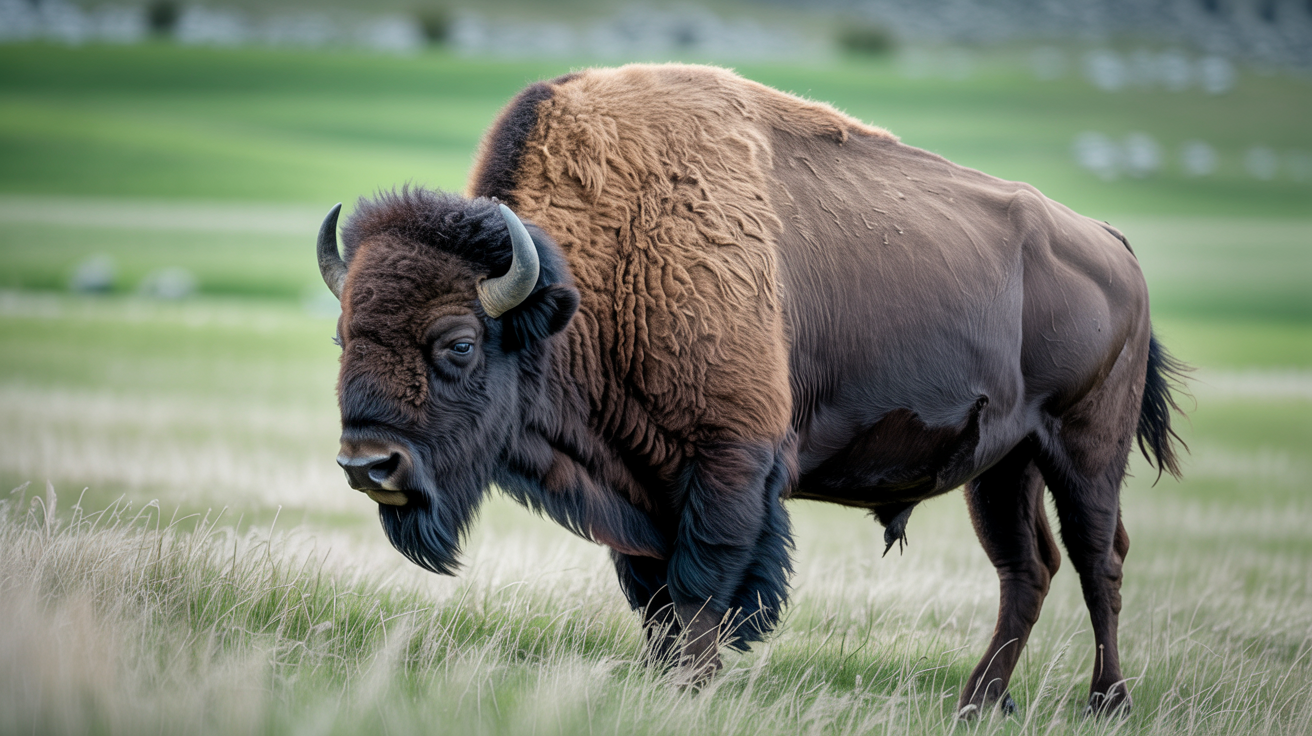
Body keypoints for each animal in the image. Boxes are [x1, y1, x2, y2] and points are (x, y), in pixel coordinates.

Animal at [317, 64, 1185, 716]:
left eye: (458, 344)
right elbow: (655, 600)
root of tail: (1114, 247)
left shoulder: (728, 466)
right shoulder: (643, 490)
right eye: (342, 336)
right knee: (1025, 568)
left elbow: (703, 592)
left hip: (1084, 450)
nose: (368, 465)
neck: (593, 281)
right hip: (1003, 465)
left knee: (1097, 559)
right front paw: (660, 685)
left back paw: (1107, 703)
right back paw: (978, 703)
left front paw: (687, 690)